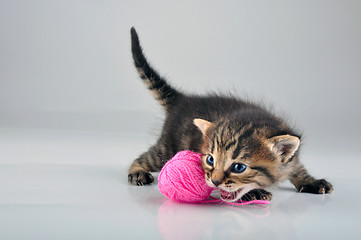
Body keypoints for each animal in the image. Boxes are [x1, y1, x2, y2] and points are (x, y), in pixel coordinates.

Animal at [128, 27, 334, 202]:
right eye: (210, 159)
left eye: (238, 167)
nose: (214, 181)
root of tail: (182, 99)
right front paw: (253, 192)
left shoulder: (292, 157)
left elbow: (297, 168)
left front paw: (311, 181)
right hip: (167, 148)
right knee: (145, 158)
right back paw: (137, 171)